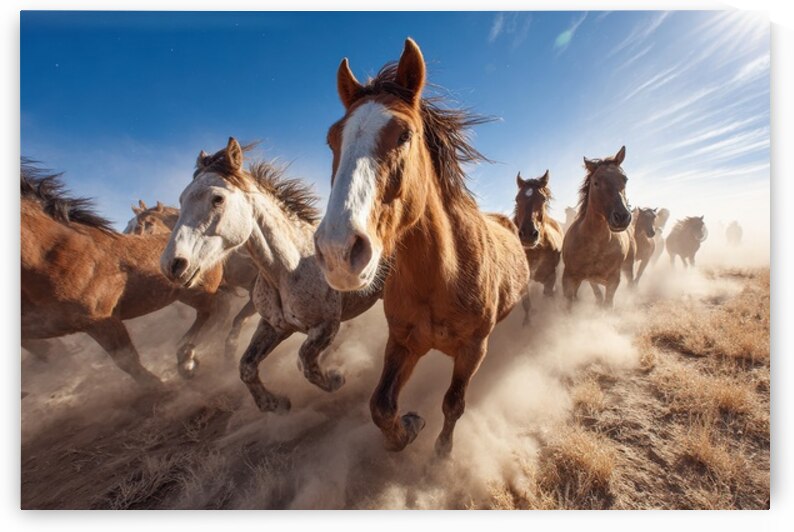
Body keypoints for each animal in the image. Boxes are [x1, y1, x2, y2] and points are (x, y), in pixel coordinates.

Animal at [21, 161, 226, 389]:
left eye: (146, 223)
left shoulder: (102, 321)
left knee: (218, 310)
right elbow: (50, 352)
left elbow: (127, 361)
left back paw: (189, 360)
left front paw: (160, 388)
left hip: (198, 291)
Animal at [160, 138, 382, 413]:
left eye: (217, 199)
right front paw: (274, 403)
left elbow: (304, 361)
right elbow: (246, 365)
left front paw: (336, 378)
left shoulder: (326, 325)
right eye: (181, 200)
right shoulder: (274, 326)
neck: (289, 269)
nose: (172, 265)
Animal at [313, 38, 529, 456]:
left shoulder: (473, 349)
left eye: (404, 135)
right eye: (332, 139)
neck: (441, 278)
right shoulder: (402, 342)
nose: (338, 252)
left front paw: (441, 452)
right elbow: (381, 406)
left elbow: (453, 403)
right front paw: (410, 427)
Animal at [514, 170, 563, 325]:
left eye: (543, 199)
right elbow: (526, 304)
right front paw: (527, 322)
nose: (528, 234)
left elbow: (548, 294)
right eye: (517, 199)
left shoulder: (551, 276)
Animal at [561, 146, 634, 308]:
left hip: (628, 266)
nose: (622, 217)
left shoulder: (613, 280)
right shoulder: (569, 280)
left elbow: (608, 304)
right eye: (596, 182)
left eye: (625, 179)